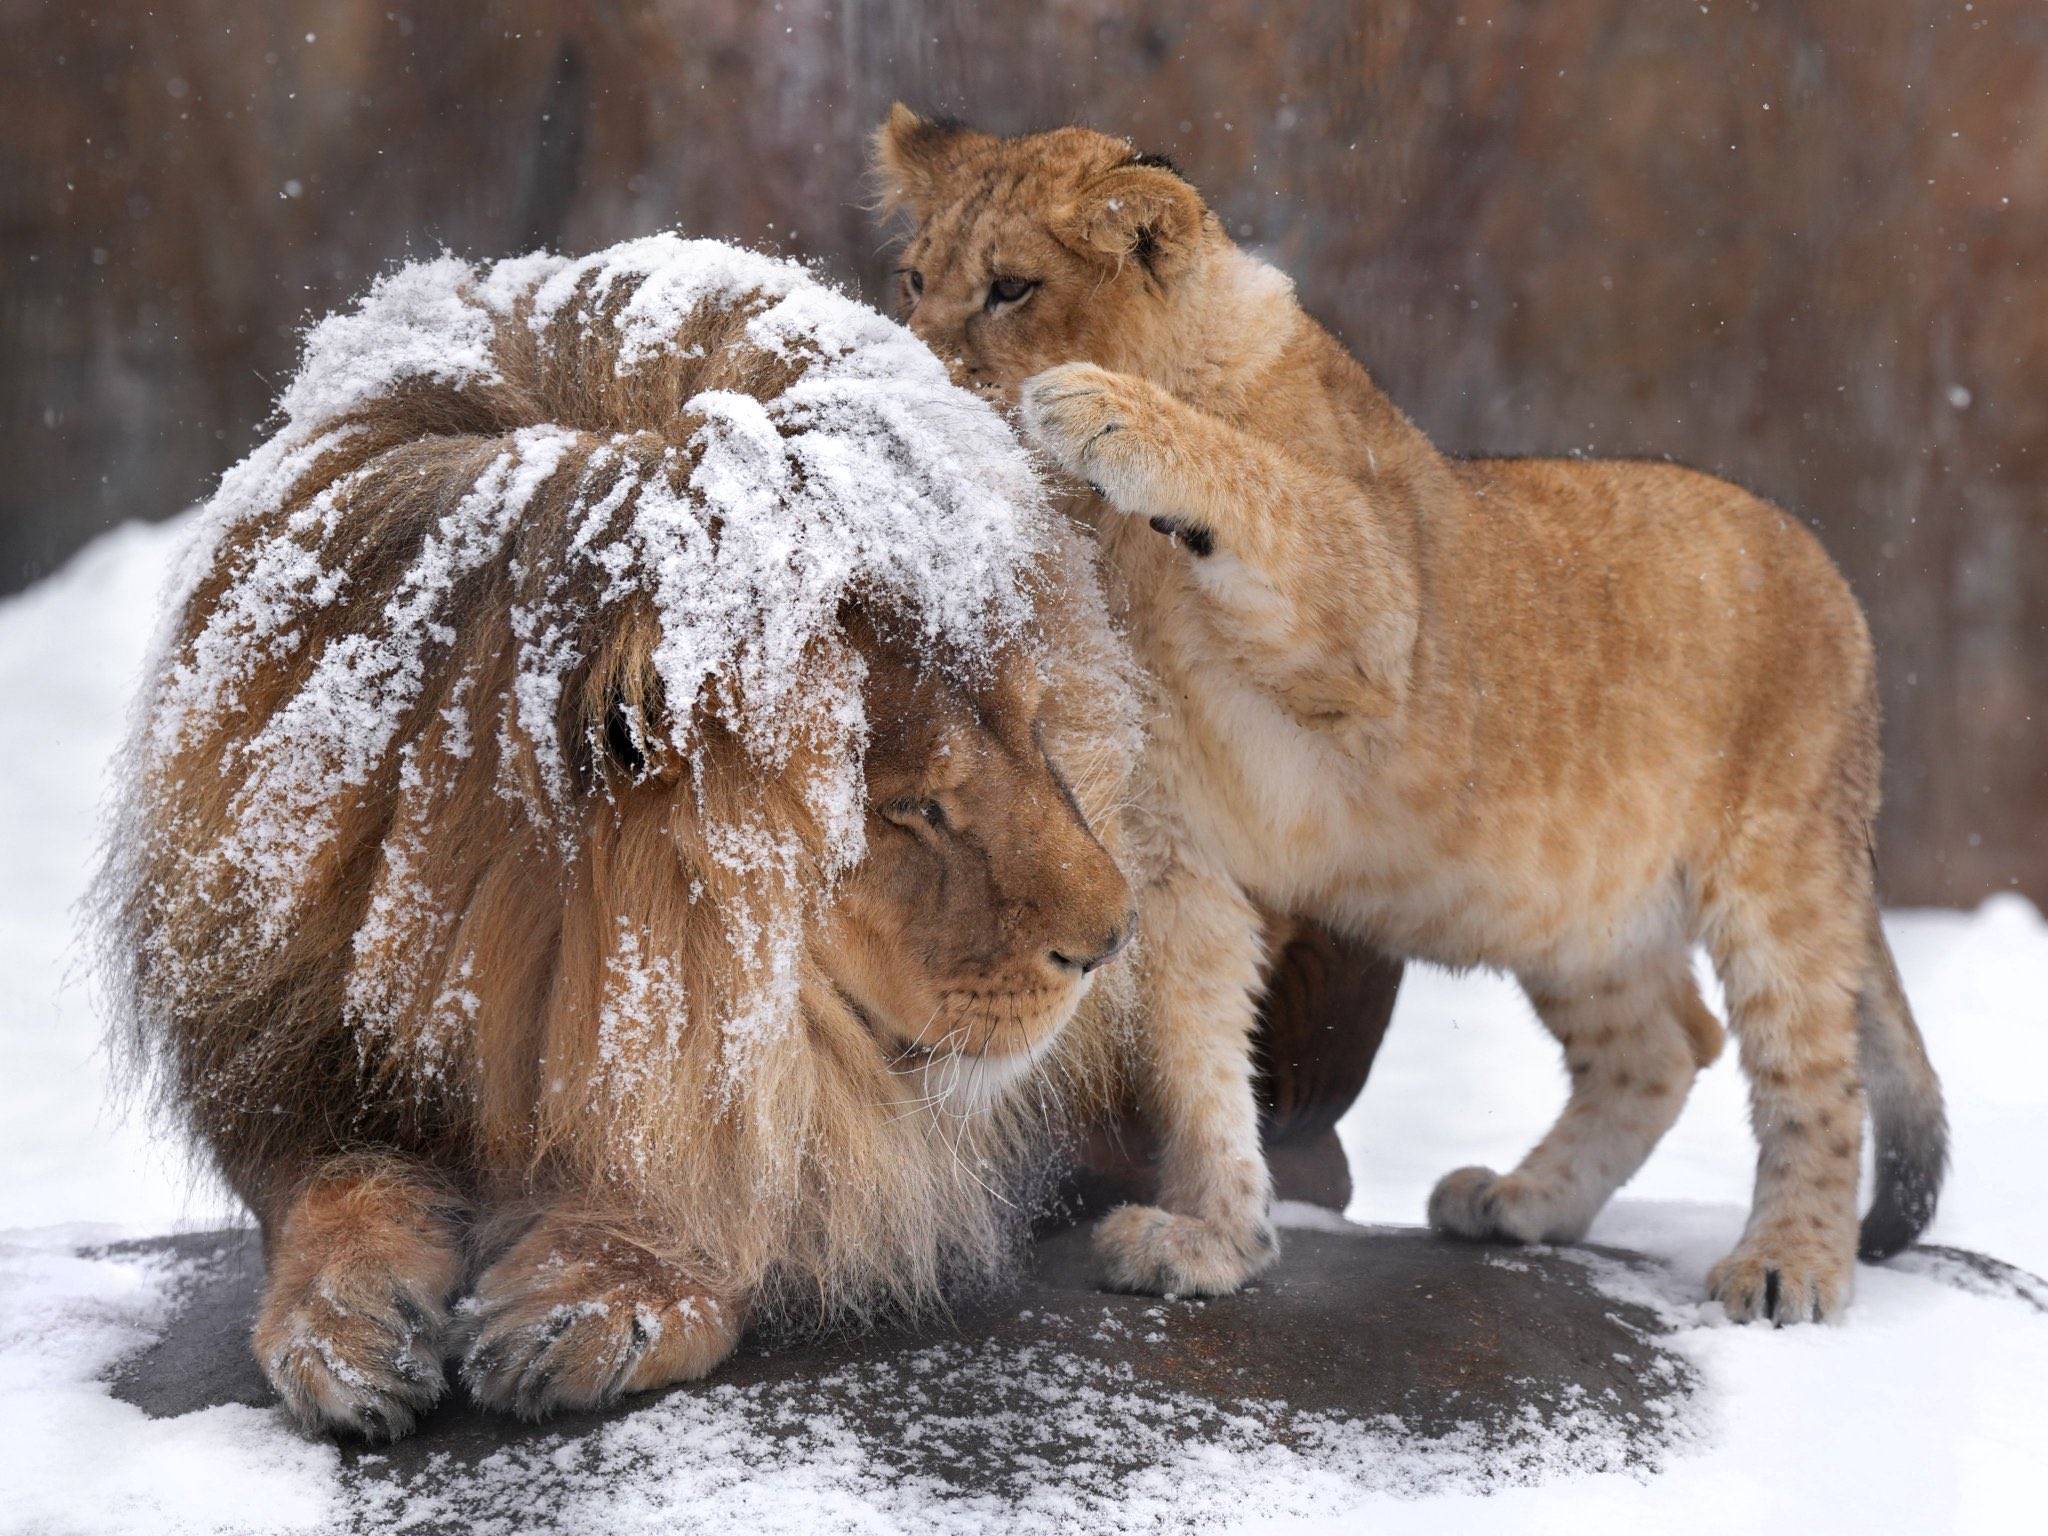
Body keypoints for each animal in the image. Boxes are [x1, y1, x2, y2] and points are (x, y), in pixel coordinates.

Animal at [96, 234, 1146, 1441]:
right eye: (912, 807)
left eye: (1036, 732)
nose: (1112, 941)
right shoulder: (280, 1027)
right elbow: (327, 1184)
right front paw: (341, 1320)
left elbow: (773, 1156)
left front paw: (610, 1289)